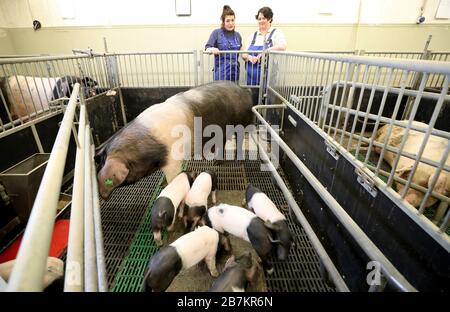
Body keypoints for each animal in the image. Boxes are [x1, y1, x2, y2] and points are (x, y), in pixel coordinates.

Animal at [96, 80, 253, 200]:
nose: (101, 197)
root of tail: (244, 90)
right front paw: (162, 185)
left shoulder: (173, 160)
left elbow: (173, 177)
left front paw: (167, 187)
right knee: (223, 141)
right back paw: (215, 162)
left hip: (242, 124)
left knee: (239, 140)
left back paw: (236, 161)